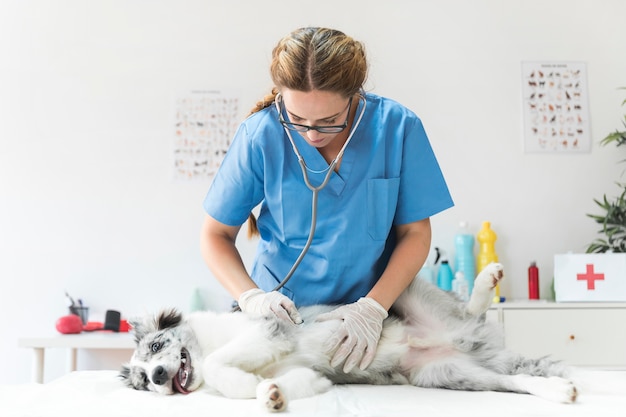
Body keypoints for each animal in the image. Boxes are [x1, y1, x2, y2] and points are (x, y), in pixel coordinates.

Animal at [118, 264, 576, 412]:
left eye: (157, 347)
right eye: (141, 382)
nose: (158, 377)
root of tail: (465, 339)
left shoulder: (272, 329)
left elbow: (219, 363)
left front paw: (244, 382)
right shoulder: (306, 373)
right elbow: (283, 383)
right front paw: (266, 394)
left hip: (405, 291)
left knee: (468, 307)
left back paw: (486, 280)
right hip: (448, 374)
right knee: (513, 380)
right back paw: (558, 390)